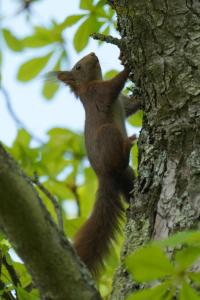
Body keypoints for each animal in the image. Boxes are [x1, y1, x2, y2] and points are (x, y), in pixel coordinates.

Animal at [47, 52, 140, 276]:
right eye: (78, 67)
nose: (93, 53)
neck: (89, 83)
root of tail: (104, 176)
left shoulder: (121, 102)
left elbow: (130, 107)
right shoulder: (99, 92)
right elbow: (114, 85)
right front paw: (126, 66)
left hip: (126, 175)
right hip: (108, 133)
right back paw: (127, 144)